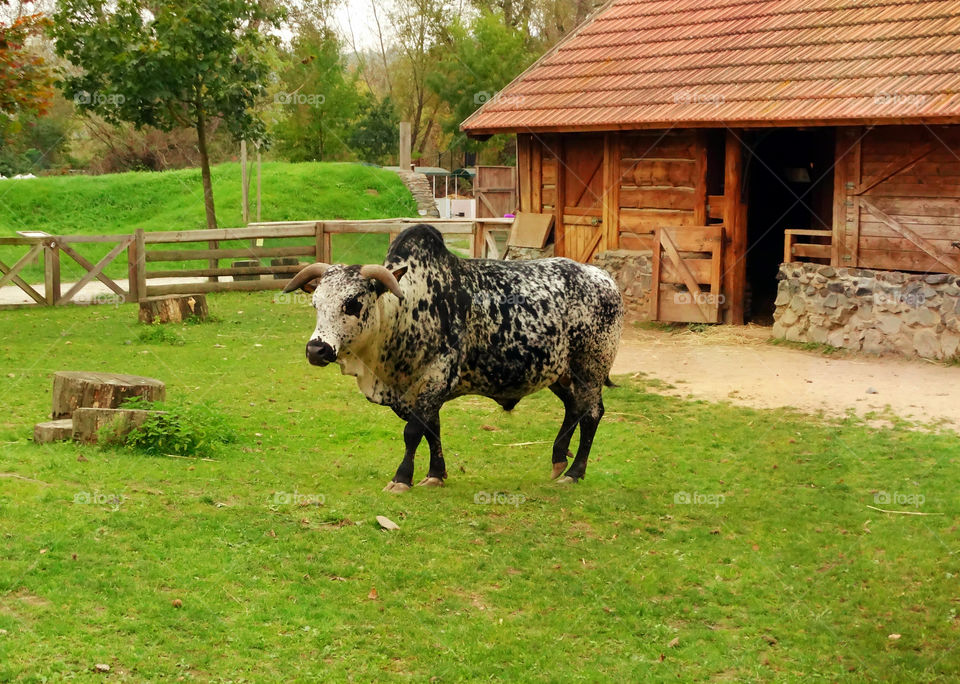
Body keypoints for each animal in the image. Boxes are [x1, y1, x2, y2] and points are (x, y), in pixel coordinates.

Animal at [283, 224, 624, 492]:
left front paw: (402, 479)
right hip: (559, 372)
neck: (405, 311)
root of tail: (602, 276)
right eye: (315, 303)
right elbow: (432, 430)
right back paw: (558, 460)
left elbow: (413, 432)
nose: (316, 349)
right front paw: (435, 474)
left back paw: (574, 472)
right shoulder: (419, 390)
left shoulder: (436, 378)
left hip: (590, 368)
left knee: (591, 414)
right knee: (574, 408)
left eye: (352, 302)